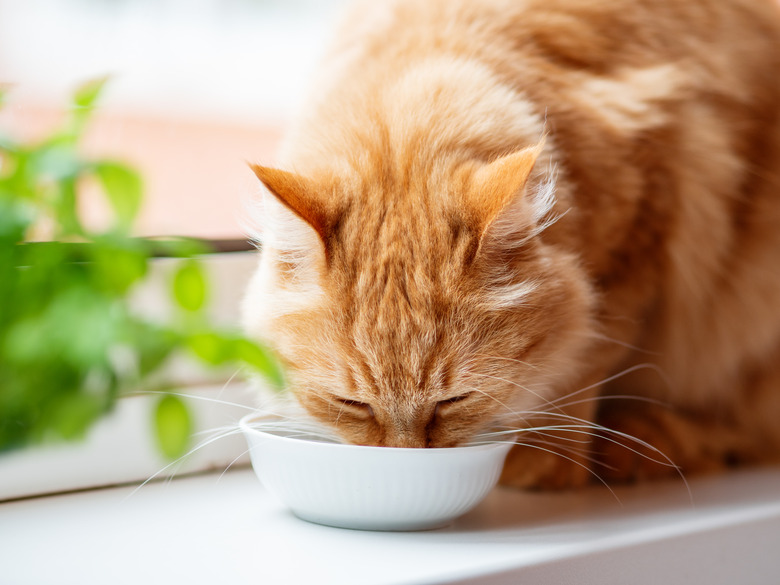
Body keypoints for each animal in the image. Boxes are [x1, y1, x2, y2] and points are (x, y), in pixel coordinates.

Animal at [242, 0, 780, 486]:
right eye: (352, 404)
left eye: (452, 401)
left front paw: (545, 463)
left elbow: (580, 364)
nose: (405, 458)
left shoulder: (646, 225)